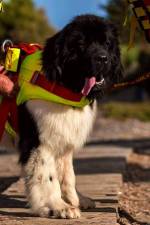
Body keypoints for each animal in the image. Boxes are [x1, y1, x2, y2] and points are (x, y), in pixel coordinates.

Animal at [17, 14, 123, 218]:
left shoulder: (63, 135)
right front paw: (57, 207)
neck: (64, 87)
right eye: (81, 44)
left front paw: (75, 200)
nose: (103, 58)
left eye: (107, 43)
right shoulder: (40, 141)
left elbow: (67, 175)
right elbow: (47, 175)